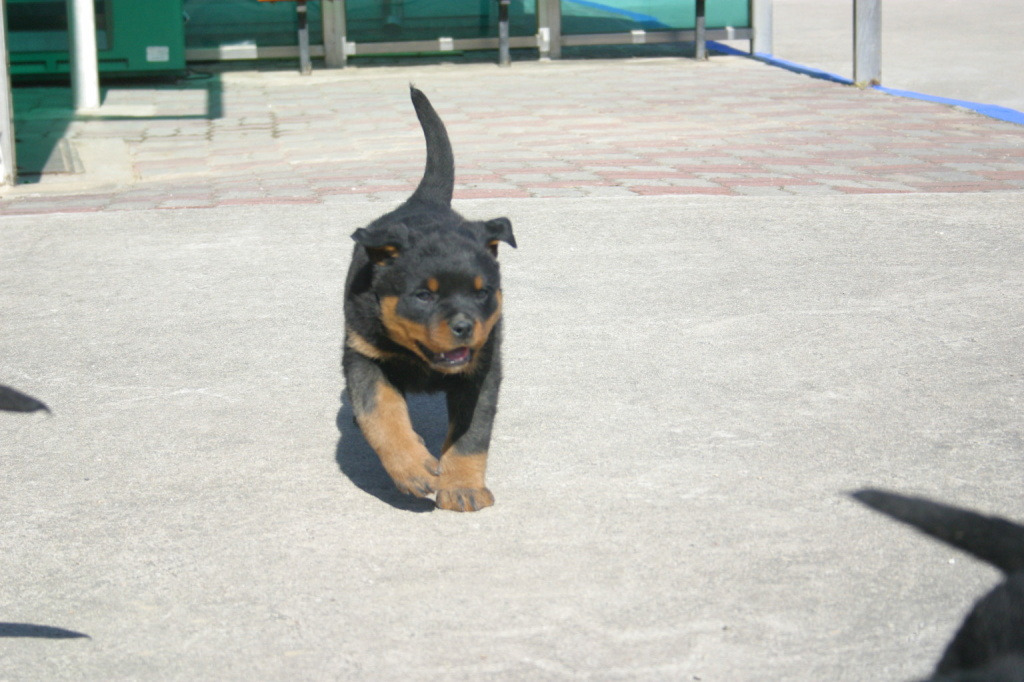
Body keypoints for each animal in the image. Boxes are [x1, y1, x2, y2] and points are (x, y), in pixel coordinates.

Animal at [344, 86, 516, 509]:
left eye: (482, 292)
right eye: (423, 295)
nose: (464, 326)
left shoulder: (482, 368)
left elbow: (471, 434)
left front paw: (463, 487)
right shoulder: (363, 354)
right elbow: (380, 413)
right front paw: (411, 467)